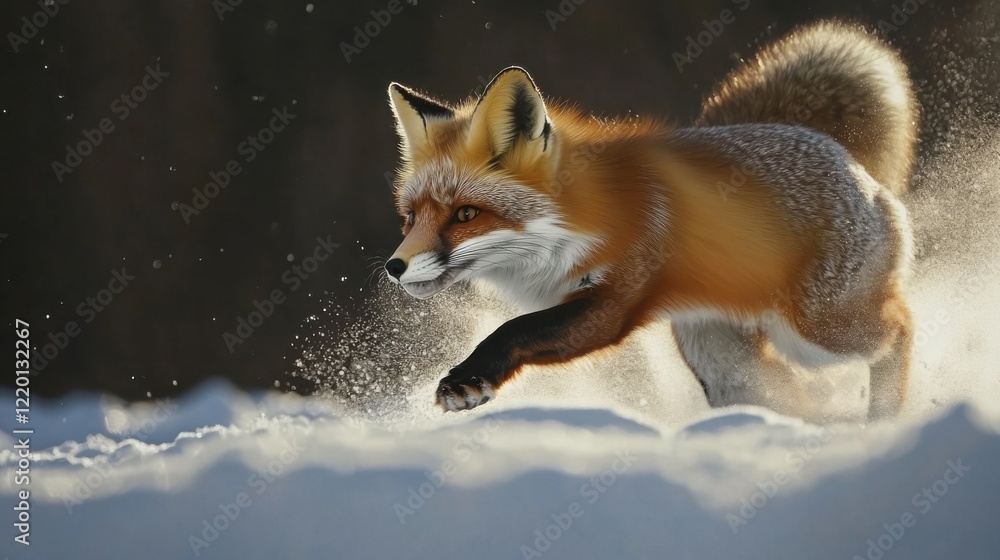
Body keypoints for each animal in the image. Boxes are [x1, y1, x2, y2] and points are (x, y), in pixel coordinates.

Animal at [382, 20, 918, 420]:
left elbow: (515, 330)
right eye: (411, 217)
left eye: (466, 213)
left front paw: (466, 378)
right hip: (727, 364)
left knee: (901, 326)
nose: (394, 267)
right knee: (788, 401)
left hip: (817, 331)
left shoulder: (614, 300)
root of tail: (835, 150)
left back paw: (887, 417)